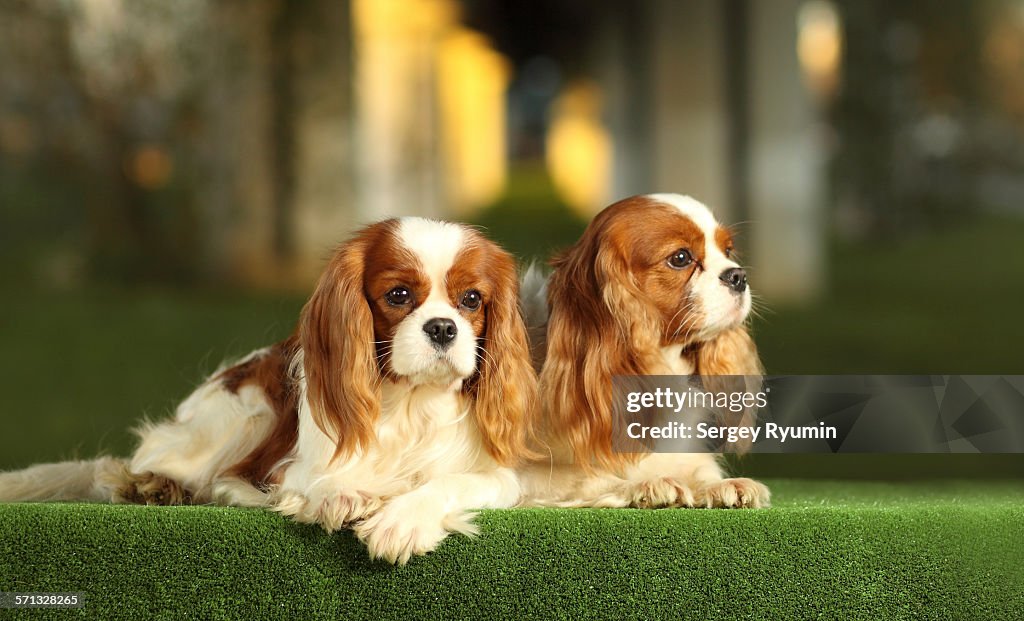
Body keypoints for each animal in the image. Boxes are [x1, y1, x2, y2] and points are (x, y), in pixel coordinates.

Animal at [0, 216, 540, 565]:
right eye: (399, 295)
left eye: (471, 300)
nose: (444, 329)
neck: (410, 401)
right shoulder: (292, 464)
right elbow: (315, 481)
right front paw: (343, 494)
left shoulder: (498, 478)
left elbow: (449, 483)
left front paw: (401, 521)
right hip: (246, 410)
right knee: (167, 466)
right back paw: (154, 486)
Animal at [520, 194, 770, 510]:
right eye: (680, 258)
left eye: (727, 250)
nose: (738, 275)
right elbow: (590, 478)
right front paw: (648, 484)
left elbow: (700, 468)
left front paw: (719, 486)